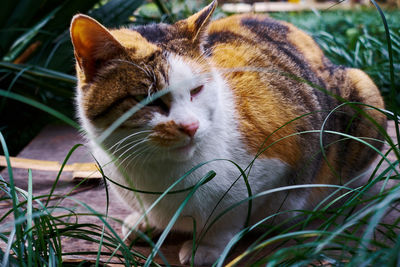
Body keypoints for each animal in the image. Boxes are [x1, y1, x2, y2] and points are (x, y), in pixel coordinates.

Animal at [70, 1, 386, 266]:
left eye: (197, 90)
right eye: (148, 100)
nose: (190, 126)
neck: (159, 168)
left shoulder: (277, 162)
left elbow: (229, 216)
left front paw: (206, 248)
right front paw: (144, 221)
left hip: (364, 89)